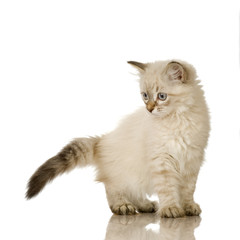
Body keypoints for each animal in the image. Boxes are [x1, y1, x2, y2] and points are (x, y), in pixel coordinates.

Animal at [26, 59, 210, 218]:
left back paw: (145, 205)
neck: (178, 119)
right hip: (124, 173)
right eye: (145, 96)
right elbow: (167, 188)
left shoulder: (192, 159)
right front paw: (171, 208)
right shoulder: (161, 161)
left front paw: (188, 207)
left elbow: (188, 190)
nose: (149, 109)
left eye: (162, 96)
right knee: (113, 188)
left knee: (134, 192)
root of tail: (101, 141)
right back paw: (123, 206)